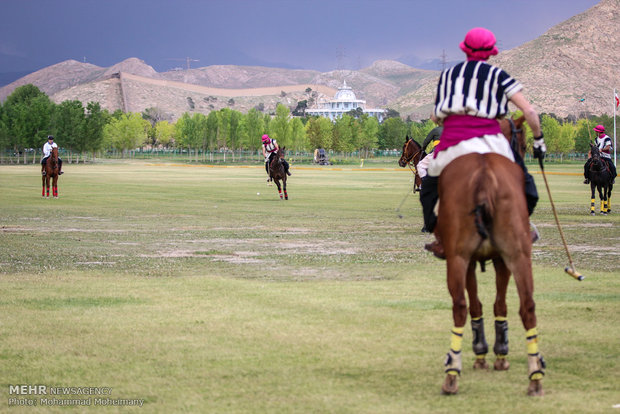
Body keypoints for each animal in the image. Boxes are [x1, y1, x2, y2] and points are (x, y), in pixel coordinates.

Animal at [436, 115, 544, 394]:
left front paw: (485, 353)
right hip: (516, 256)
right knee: (527, 306)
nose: (524, 155)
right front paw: (495, 353)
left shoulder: (475, 261)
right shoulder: (495, 260)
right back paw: (535, 377)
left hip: (460, 258)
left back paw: (452, 373)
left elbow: (483, 304)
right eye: (524, 144)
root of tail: (484, 176)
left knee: (460, 306)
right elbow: (495, 303)